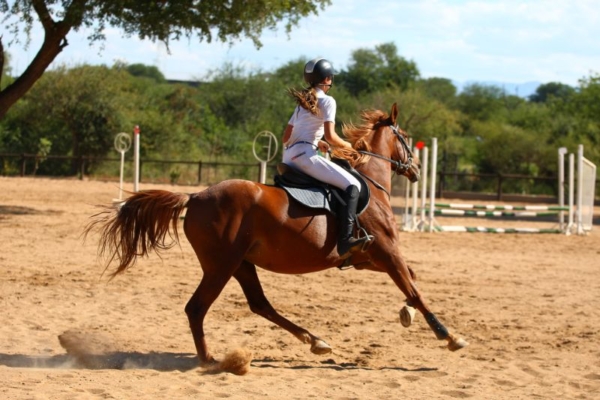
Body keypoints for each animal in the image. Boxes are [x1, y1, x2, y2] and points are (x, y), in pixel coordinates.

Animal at [85, 103, 468, 366]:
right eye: (405, 139)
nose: (415, 169)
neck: (370, 185)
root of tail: (195, 197)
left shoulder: (367, 258)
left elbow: (411, 280)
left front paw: (407, 315)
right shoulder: (387, 252)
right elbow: (414, 288)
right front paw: (448, 336)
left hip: (241, 263)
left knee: (260, 304)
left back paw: (315, 341)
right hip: (221, 266)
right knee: (197, 308)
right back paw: (209, 359)